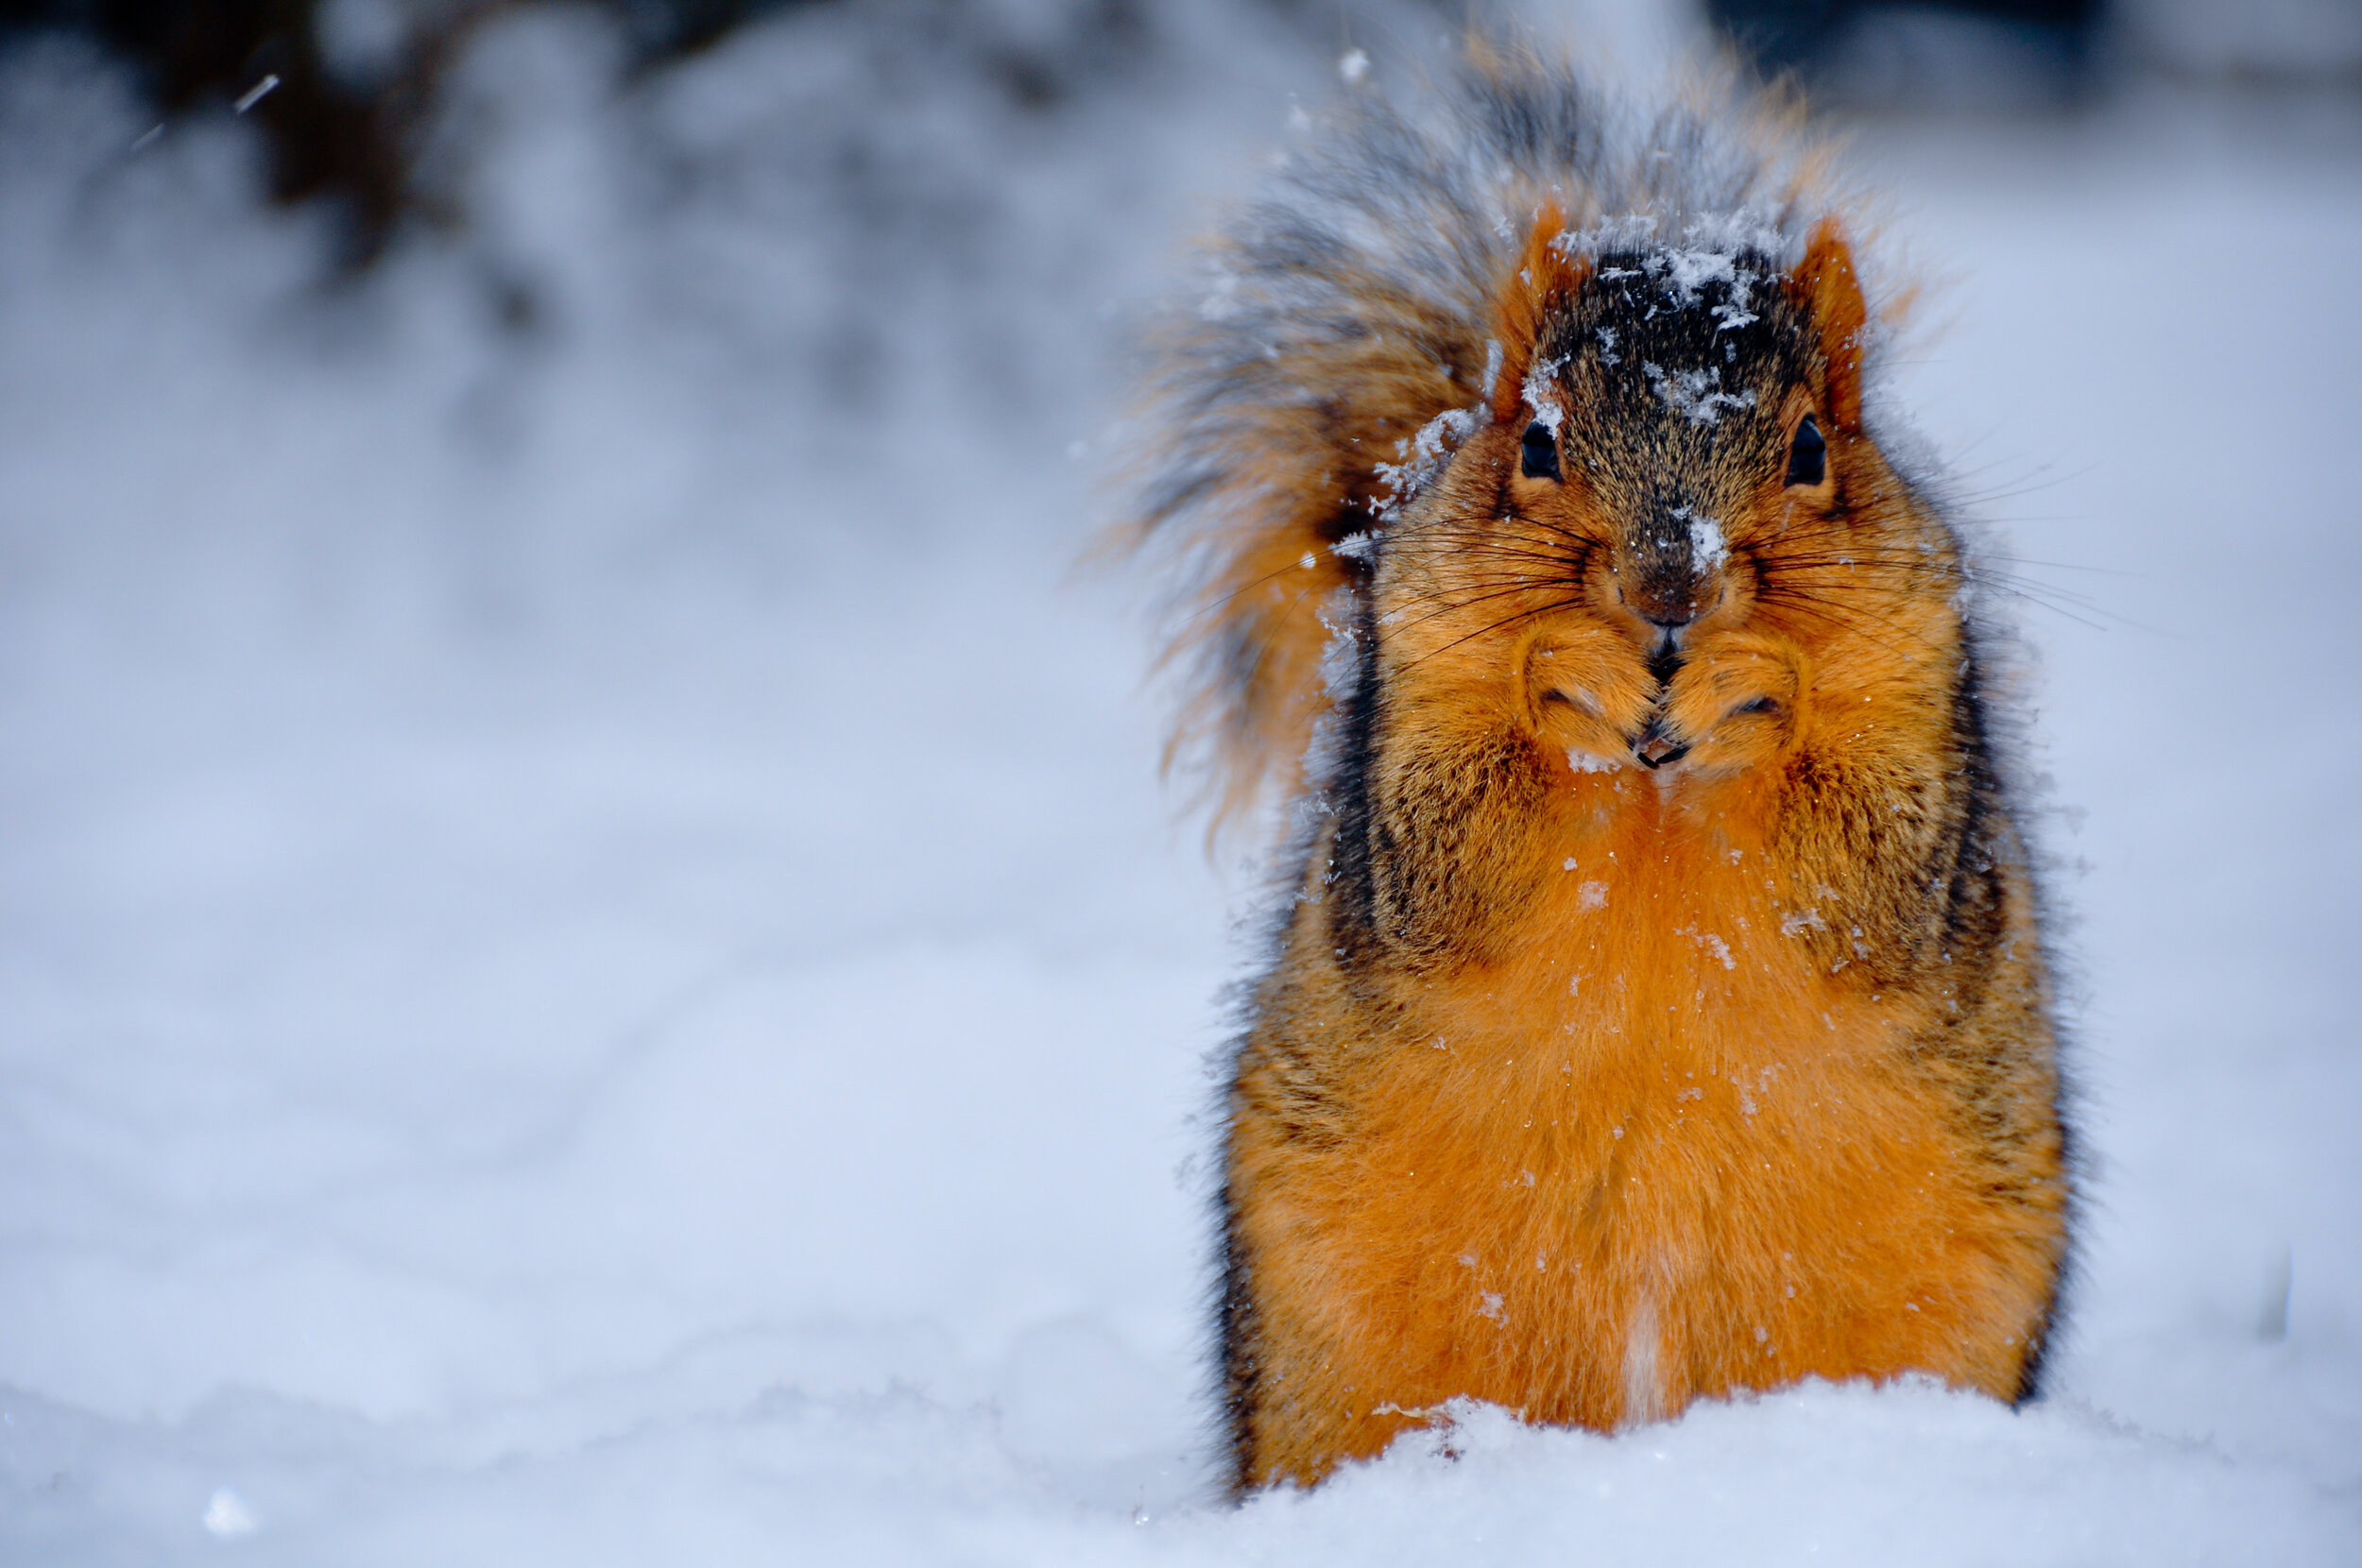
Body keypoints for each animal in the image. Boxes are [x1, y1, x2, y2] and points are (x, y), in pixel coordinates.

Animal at [1120, 43, 2074, 1495]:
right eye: (1534, 446)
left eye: (1813, 449)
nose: (1669, 594)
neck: (1656, 787)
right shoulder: (1405, 737)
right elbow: (1450, 852)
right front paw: (1569, 667)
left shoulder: (1930, 728)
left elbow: (1872, 871)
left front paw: (1754, 683)